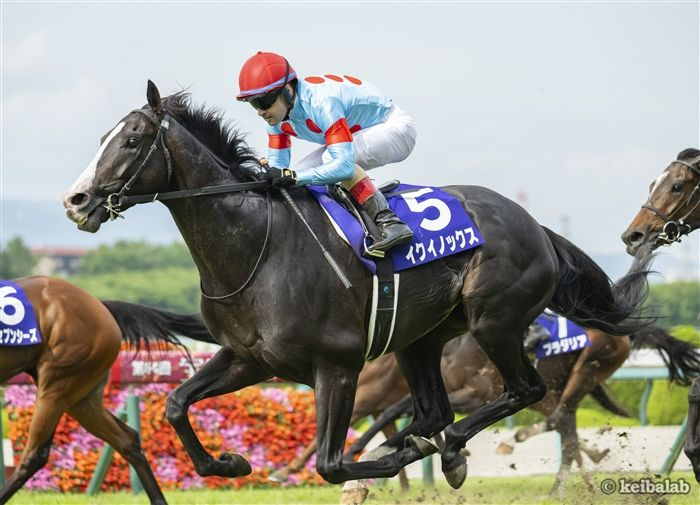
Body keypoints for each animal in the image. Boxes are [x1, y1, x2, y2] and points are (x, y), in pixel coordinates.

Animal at [61, 81, 654, 490]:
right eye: (103, 138)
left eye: (131, 139)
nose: (76, 200)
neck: (256, 249)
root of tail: (536, 225)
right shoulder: (249, 359)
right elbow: (176, 404)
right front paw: (228, 462)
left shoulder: (337, 366)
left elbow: (331, 463)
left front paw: (396, 457)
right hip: (422, 339)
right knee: (436, 411)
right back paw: (439, 446)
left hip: (495, 322)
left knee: (521, 393)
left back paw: (449, 449)